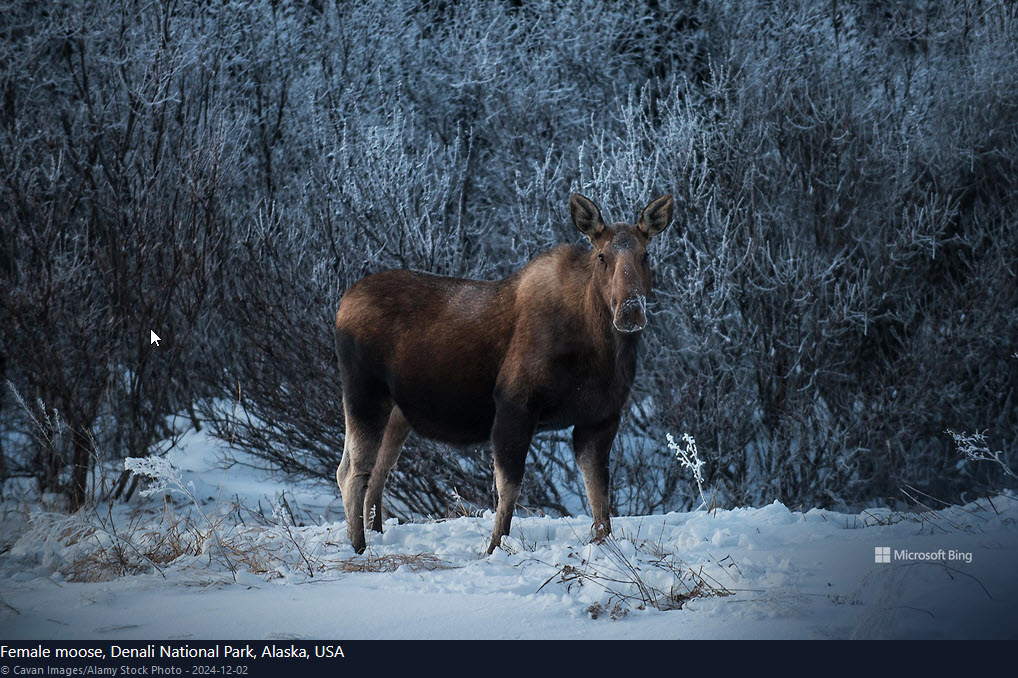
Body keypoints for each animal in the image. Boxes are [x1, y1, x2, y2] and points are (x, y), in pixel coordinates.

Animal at [334, 193, 673, 554]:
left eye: (645, 254)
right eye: (601, 256)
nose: (630, 310)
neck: (601, 351)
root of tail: (341, 305)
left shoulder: (600, 419)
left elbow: (599, 497)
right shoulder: (515, 406)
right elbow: (508, 488)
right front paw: (494, 548)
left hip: (397, 413)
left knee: (375, 472)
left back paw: (376, 536)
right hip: (363, 394)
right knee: (352, 472)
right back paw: (359, 547)